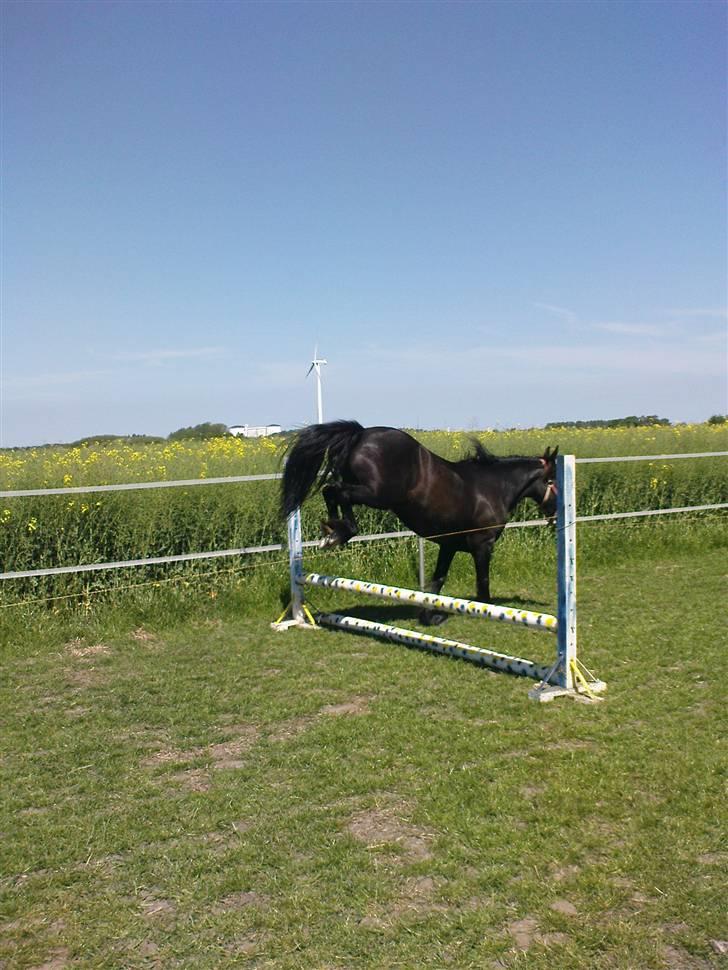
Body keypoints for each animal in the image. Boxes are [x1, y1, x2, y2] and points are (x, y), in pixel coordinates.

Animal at [280, 421, 558, 625]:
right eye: (554, 480)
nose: (556, 515)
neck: (493, 487)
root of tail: (360, 434)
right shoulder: (483, 545)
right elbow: (483, 582)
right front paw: (487, 610)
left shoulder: (449, 546)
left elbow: (437, 582)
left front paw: (428, 616)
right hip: (378, 494)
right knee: (337, 492)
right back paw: (340, 531)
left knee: (331, 491)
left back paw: (332, 532)